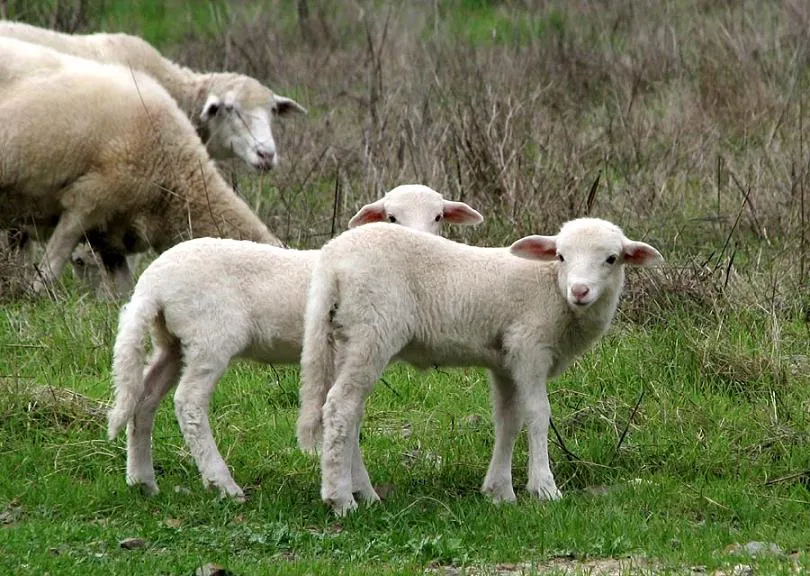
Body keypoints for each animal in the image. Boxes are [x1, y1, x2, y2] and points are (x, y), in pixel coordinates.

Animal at [0, 37, 284, 292]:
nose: (266, 155)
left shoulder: (110, 234)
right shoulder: (87, 201)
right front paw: (37, 296)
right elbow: (50, 269)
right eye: (231, 109)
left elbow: (123, 290)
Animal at [105, 184, 482, 500]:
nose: (420, 245)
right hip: (210, 337)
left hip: (172, 342)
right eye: (392, 217)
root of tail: (152, 283)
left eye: (438, 216)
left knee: (144, 397)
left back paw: (143, 480)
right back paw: (224, 484)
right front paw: (359, 490)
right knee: (189, 403)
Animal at [296, 218, 664, 516]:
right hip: (371, 329)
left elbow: (508, 419)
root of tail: (331, 260)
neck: (553, 288)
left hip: (343, 337)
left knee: (346, 410)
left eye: (611, 259)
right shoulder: (529, 346)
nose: (580, 290)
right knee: (341, 406)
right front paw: (545, 488)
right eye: (560, 256)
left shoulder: (504, 360)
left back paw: (365, 493)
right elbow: (538, 413)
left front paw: (499, 491)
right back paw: (341, 499)